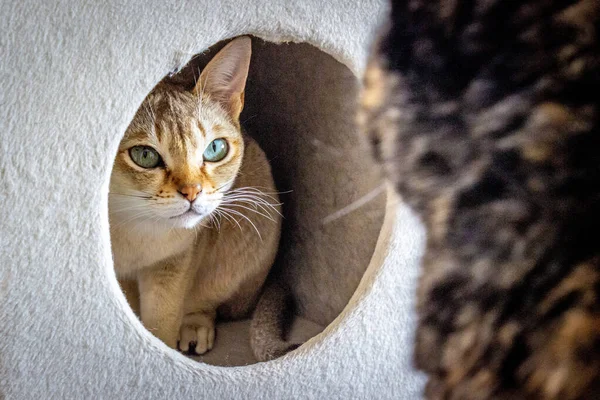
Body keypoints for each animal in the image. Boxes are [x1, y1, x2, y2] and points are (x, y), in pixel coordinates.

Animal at [108, 36, 284, 356]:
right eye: (144, 155)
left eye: (215, 149)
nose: (192, 192)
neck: (131, 228)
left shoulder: (176, 260)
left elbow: (162, 321)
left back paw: (195, 325)